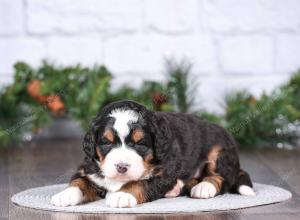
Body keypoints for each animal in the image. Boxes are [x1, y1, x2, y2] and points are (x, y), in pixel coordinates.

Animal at [50, 100, 254, 207]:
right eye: (106, 142)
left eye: (140, 143)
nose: (121, 167)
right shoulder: (89, 168)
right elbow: (79, 181)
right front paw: (65, 195)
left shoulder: (164, 173)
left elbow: (139, 183)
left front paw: (122, 195)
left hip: (219, 151)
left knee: (221, 178)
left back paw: (204, 187)